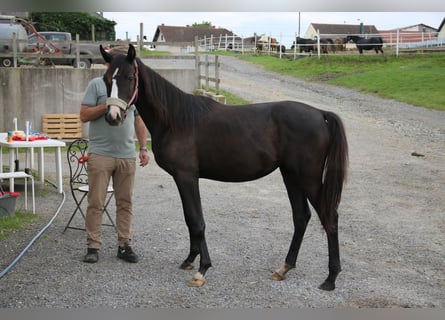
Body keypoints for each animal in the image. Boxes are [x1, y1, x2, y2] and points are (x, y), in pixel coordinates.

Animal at [99, 43, 348, 292]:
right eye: (106, 78)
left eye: (130, 77)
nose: (113, 117)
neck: (175, 119)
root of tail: (321, 114)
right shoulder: (182, 179)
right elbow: (189, 218)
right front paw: (190, 260)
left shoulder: (187, 177)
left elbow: (197, 221)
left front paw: (202, 270)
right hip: (291, 176)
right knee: (301, 217)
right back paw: (284, 268)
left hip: (308, 180)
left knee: (330, 217)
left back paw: (330, 278)